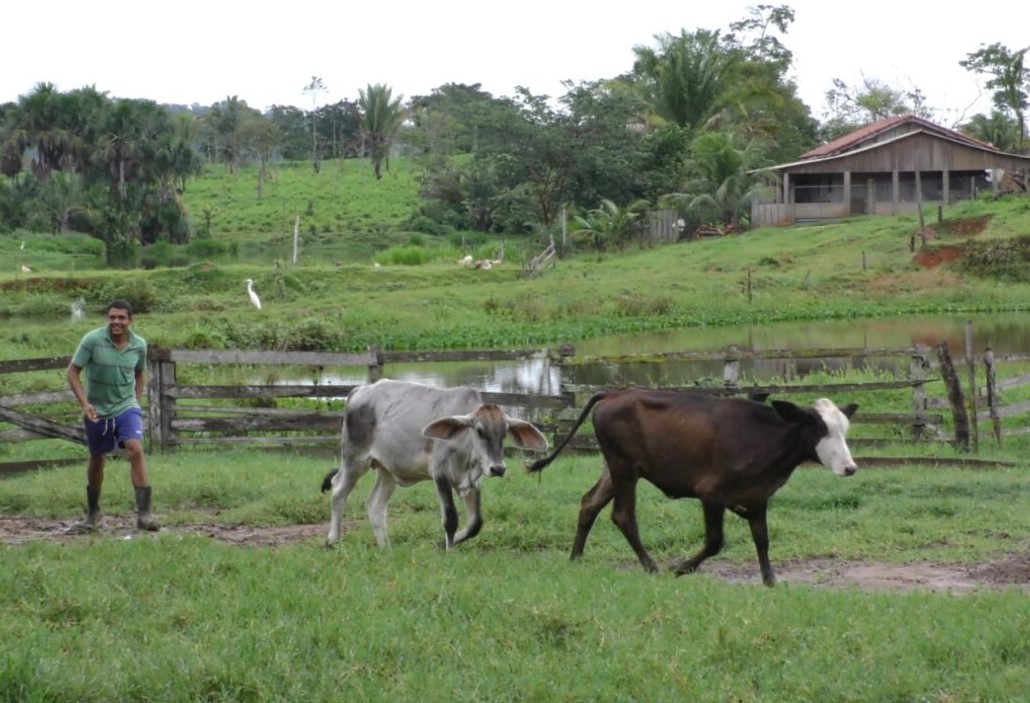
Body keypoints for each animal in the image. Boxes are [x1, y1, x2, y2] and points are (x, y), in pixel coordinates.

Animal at [321, 378, 552, 551]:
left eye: (504, 434)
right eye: (479, 431)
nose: (498, 468)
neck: (464, 446)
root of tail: (360, 390)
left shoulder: (473, 484)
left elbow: (475, 524)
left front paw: (444, 543)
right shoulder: (440, 474)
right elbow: (451, 518)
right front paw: (449, 551)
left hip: (387, 471)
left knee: (375, 505)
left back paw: (385, 547)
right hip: (354, 459)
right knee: (338, 490)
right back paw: (332, 539)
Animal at [527, 393, 856, 584]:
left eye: (844, 429)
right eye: (819, 427)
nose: (850, 468)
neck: (763, 437)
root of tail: (614, 394)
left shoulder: (758, 496)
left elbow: (762, 539)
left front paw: (770, 580)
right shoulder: (711, 494)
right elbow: (714, 541)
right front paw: (681, 569)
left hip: (615, 469)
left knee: (589, 503)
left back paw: (576, 558)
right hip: (624, 468)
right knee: (622, 516)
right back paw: (651, 567)